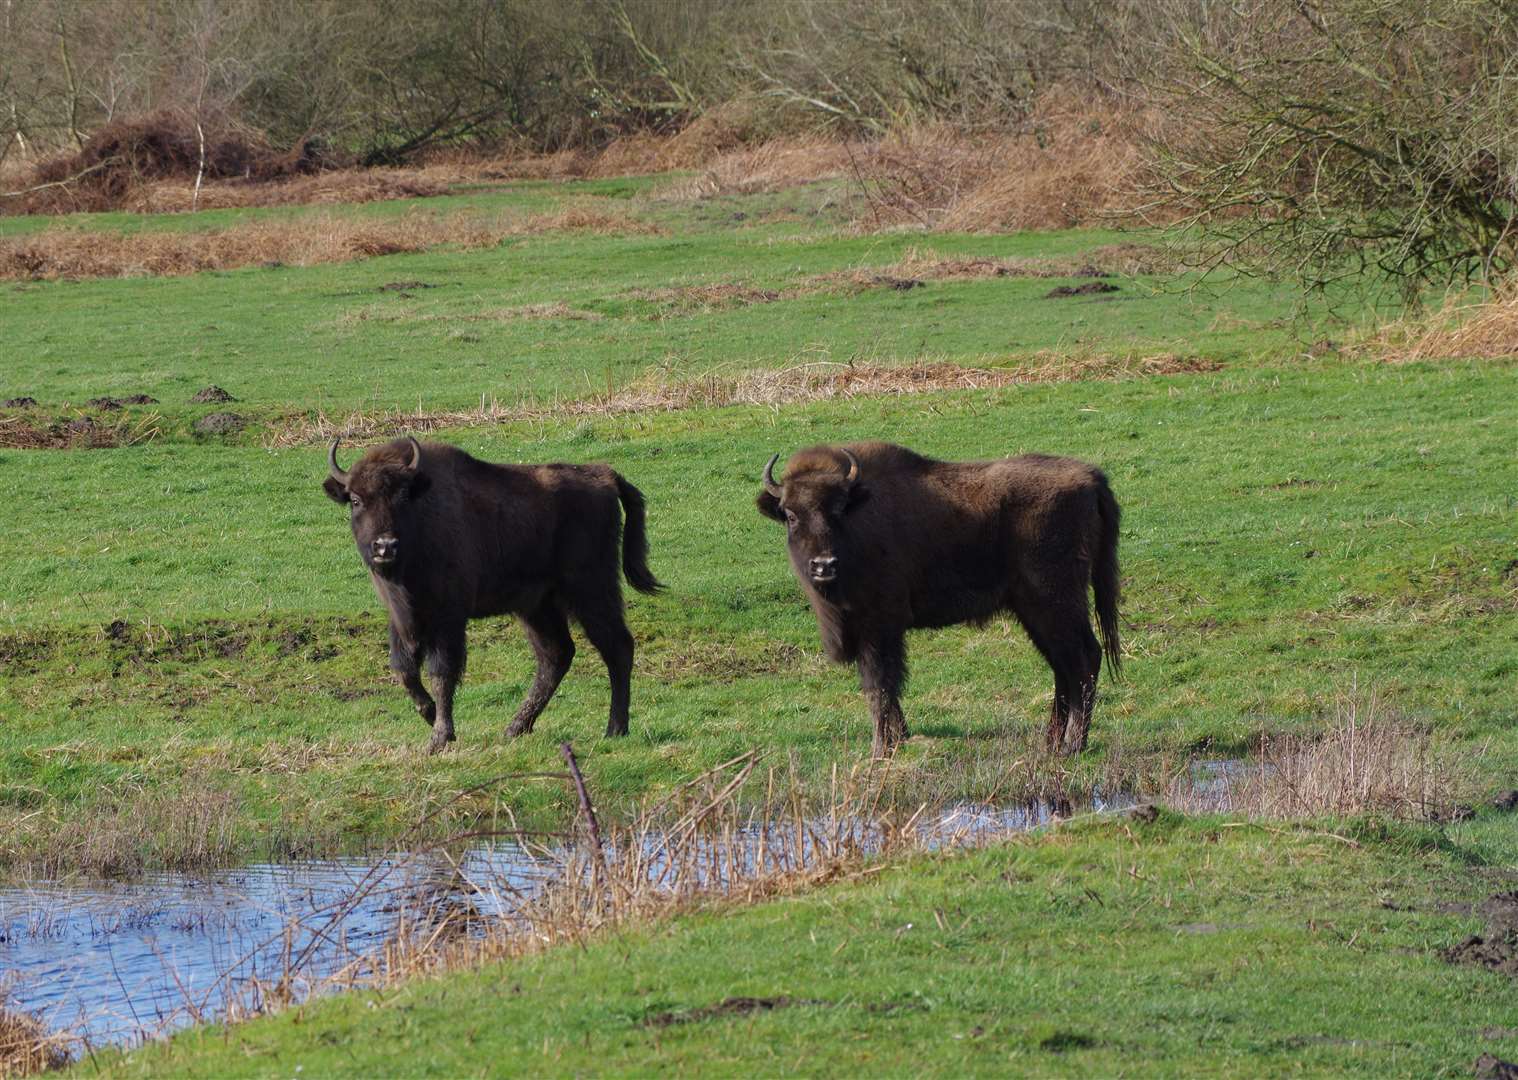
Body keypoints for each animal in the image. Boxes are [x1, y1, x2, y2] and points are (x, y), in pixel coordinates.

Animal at [323, 437, 661, 753]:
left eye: (404, 496)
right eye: (356, 500)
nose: (385, 546)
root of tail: (604, 475)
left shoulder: (448, 618)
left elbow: (442, 672)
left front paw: (440, 737)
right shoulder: (402, 618)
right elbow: (403, 669)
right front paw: (430, 715)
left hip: (591, 591)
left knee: (617, 646)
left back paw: (615, 729)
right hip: (538, 607)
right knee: (556, 655)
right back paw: (515, 728)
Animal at [755, 443, 1123, 756]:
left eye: (838, 510)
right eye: (790, 514)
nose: (823, 566)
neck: (860, 515)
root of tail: (1091, 478)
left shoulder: (878, 627)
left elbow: (879, 686)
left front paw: (880, 749)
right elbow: (885, 687)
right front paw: (899, 738)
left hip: (1055, 603)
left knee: (1083, 659)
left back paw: (1072, 745)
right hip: (1034, 611)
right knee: (1063, 666)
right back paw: (1051, 742)